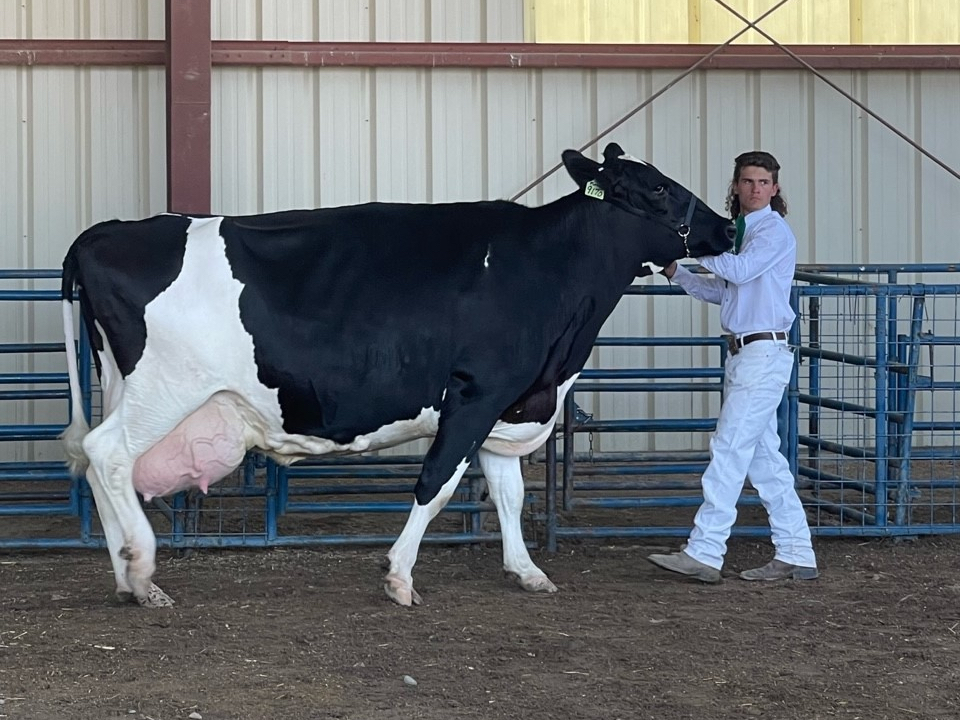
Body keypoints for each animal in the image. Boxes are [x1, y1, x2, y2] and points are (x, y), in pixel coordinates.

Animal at [62, 142, 736, 608]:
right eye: (656, 190)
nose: (728, 226)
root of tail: (105, 232)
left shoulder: (504, 407)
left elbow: (511, 494)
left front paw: (527, 571)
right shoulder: (475, 394)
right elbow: (435, 486)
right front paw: (399, 575)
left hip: (124, 384)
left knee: (96, 461)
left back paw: (131, 580)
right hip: (166, 387)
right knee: (109, 452)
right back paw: (142, 565)